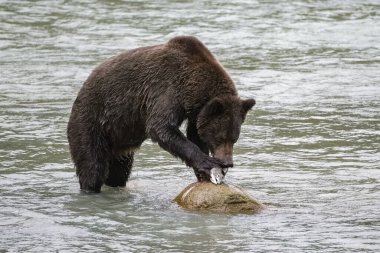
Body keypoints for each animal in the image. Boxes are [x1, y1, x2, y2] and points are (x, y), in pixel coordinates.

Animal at [68, 35, 255, 193]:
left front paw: (203, 172)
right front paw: (208, 164)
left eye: (234, 138)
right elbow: (161, 127)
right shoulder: (166, 89)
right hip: (93, 121)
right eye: (220, 137)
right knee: (92, 165)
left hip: (120, 141)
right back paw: (90, 188)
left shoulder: (195, 112)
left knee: (119, 172)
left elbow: (195, 133)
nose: (228, 163)